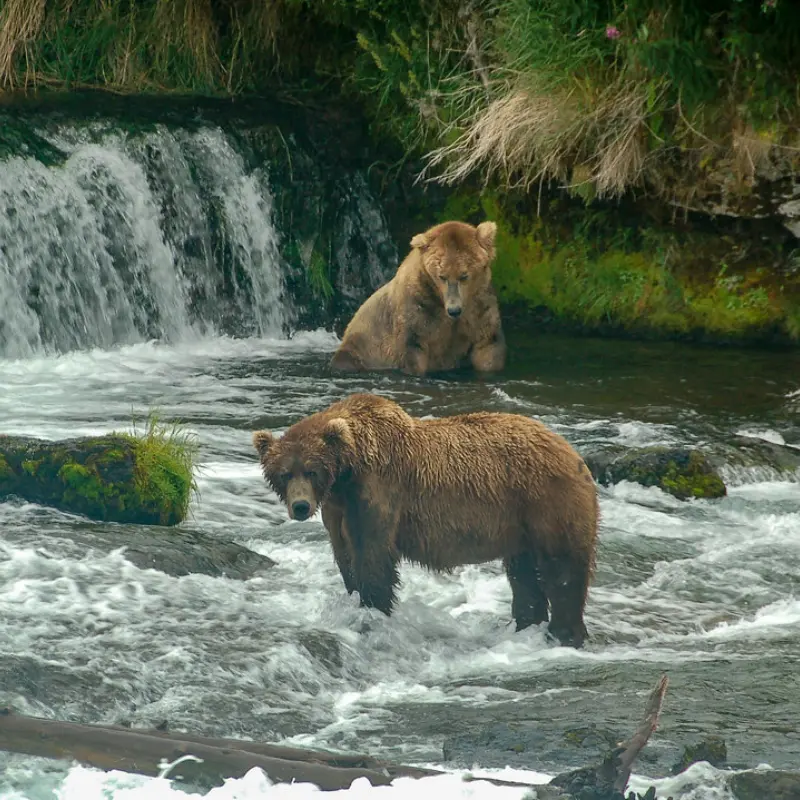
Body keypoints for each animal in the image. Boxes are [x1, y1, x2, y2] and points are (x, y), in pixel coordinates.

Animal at [253, 390, 596, 648]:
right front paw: (354, 597)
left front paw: (373, 609)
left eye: (311, 470)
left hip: (548, 502)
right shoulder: (338, 508)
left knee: (562, 570)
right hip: (519, 525)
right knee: (524, 575)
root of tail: (574, 453)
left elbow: (373, 556)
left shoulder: (379, 492)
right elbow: (345, 555)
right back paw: (526, 626)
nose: (300, 506)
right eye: (285, 473)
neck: (348, 471)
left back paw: (566, 634)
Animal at [330, 219, 506, 376]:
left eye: (464, 276)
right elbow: (413, 348)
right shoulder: (418, 307)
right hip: (361, 347)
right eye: (442, 276)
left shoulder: (479, 307)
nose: (454, 310)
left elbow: (487, 345)